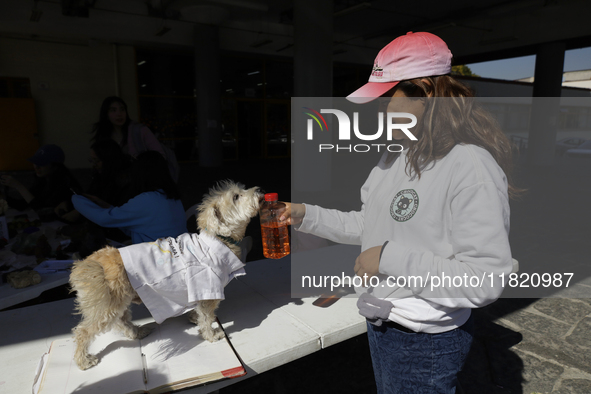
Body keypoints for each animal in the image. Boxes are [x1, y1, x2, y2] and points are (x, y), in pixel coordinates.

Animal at [69, 180, 264, 370]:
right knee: (83, 331)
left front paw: (194, 319)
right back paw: (83, 360)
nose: (259, 190)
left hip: (117, 300)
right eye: (236, 197)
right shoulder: (207, 288)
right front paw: (211, 335)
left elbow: (199, 311)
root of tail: (90, 263)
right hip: (107, 305)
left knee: (121, 320)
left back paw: (137, 332)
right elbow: (207, 317)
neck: (219, 239)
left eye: (242, 189)